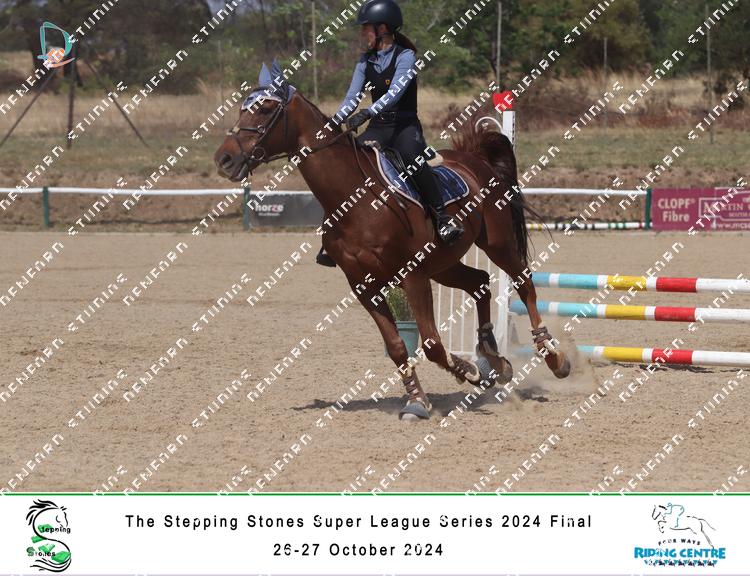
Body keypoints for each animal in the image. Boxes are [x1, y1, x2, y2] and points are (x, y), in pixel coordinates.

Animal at [214, 62, 571, 420]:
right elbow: (398, 347)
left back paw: (553, 358)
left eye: (265, 109)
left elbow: (431, 344)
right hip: (442, 266)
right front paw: (419, 400)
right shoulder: (364, 285)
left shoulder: (412, 275)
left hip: (497, 245)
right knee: (481, 283)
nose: (224, 159)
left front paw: (468, 372)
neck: (355, 199)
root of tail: (474, 159)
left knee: (524, 284)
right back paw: (494, 360)